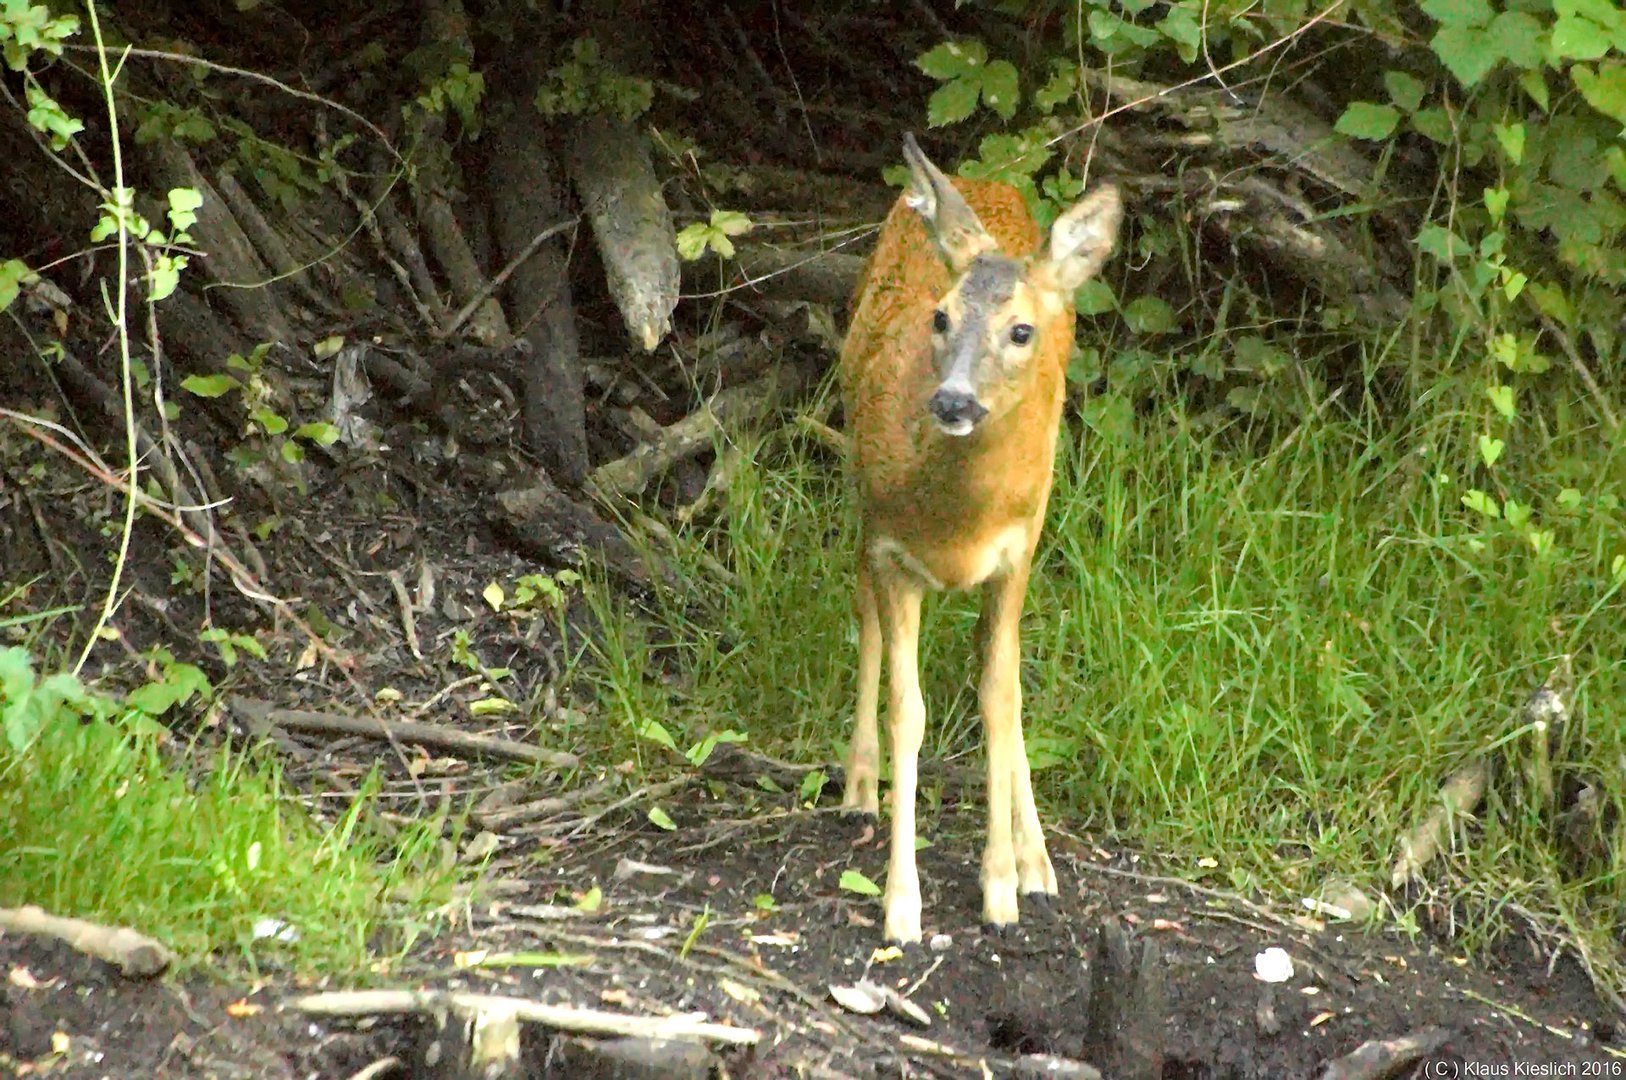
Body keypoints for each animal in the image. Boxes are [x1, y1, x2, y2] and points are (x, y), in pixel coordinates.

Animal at [832, 137, 1125, 943]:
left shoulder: (1016, 553)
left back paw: (1038, 862)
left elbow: (1000, 698)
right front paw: (902, 905)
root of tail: (980, 179)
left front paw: (1001, 889)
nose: (954, 401)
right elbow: (909, 712)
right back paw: (859, 787)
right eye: (940, 316)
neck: (956, 522)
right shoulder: (891, 548)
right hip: (857, 490)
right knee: (864, 618)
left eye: (1020, 330)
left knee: (1005, 678)